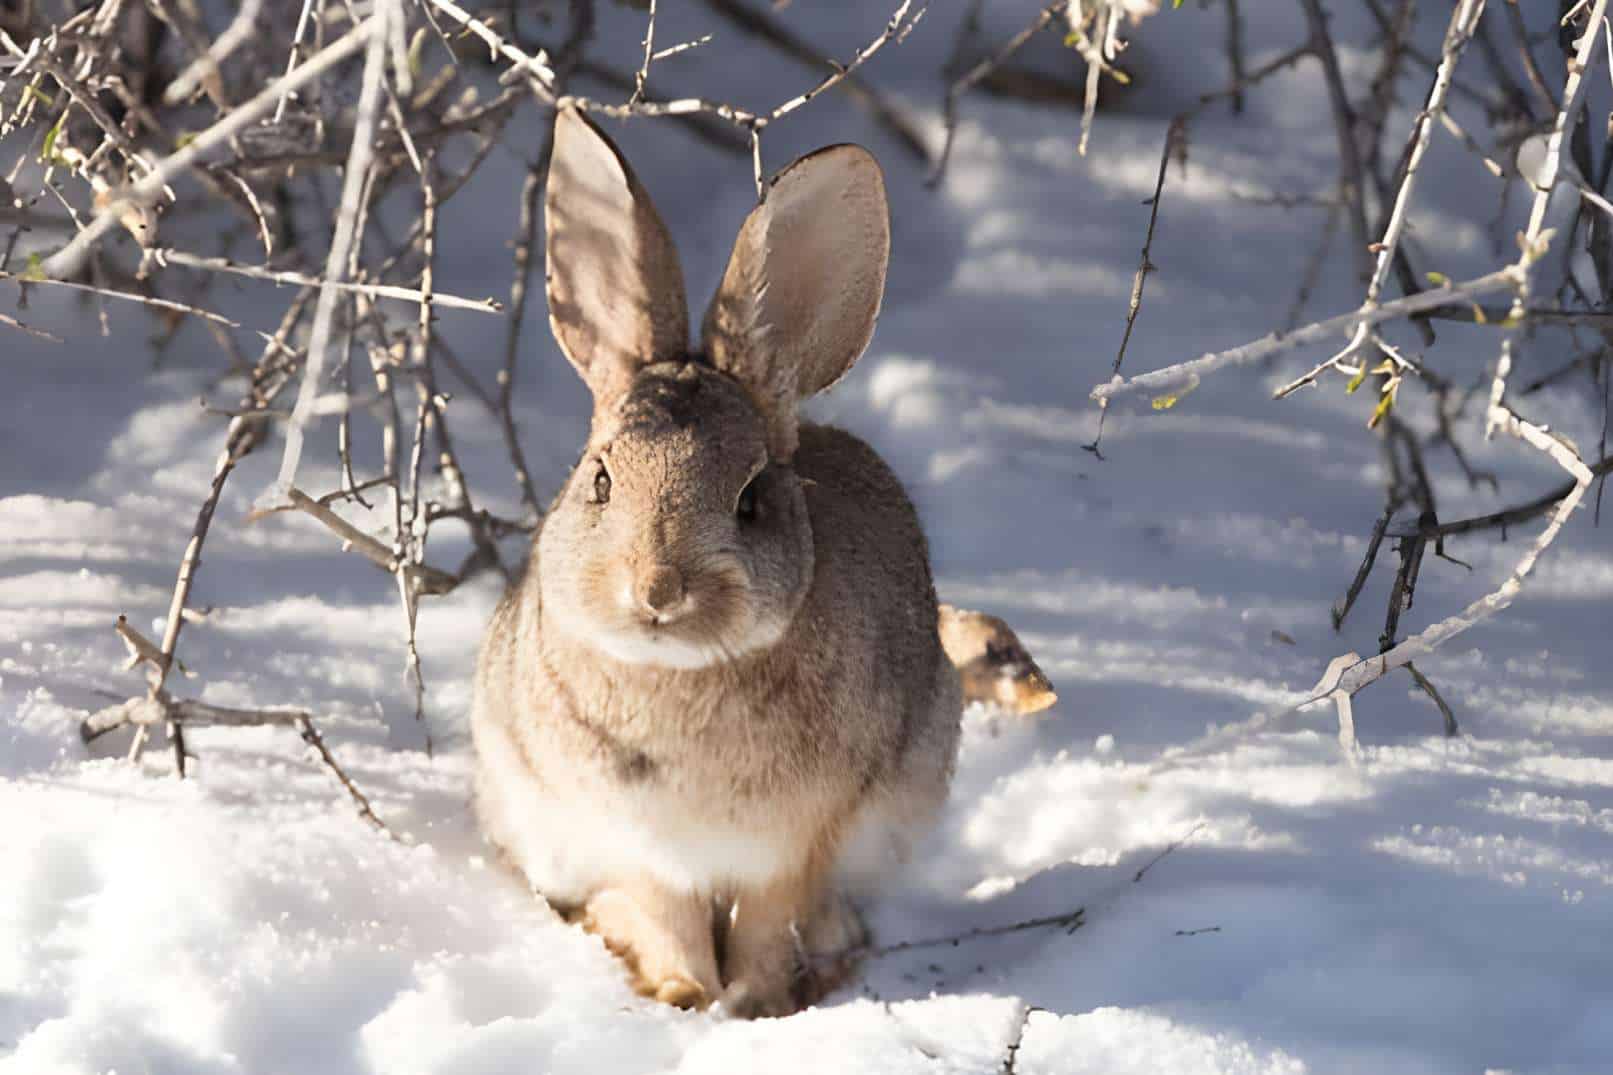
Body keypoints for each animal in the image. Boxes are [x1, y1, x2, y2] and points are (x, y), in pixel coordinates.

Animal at [470, 106, 961, 1013]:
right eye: (600, 479)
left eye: (749, 499)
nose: (657, 588)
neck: (678, 673)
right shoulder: (637, 843)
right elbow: (667, 914)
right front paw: (681, 996)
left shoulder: (795, 843)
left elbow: (768, 918)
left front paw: (758, 1004)